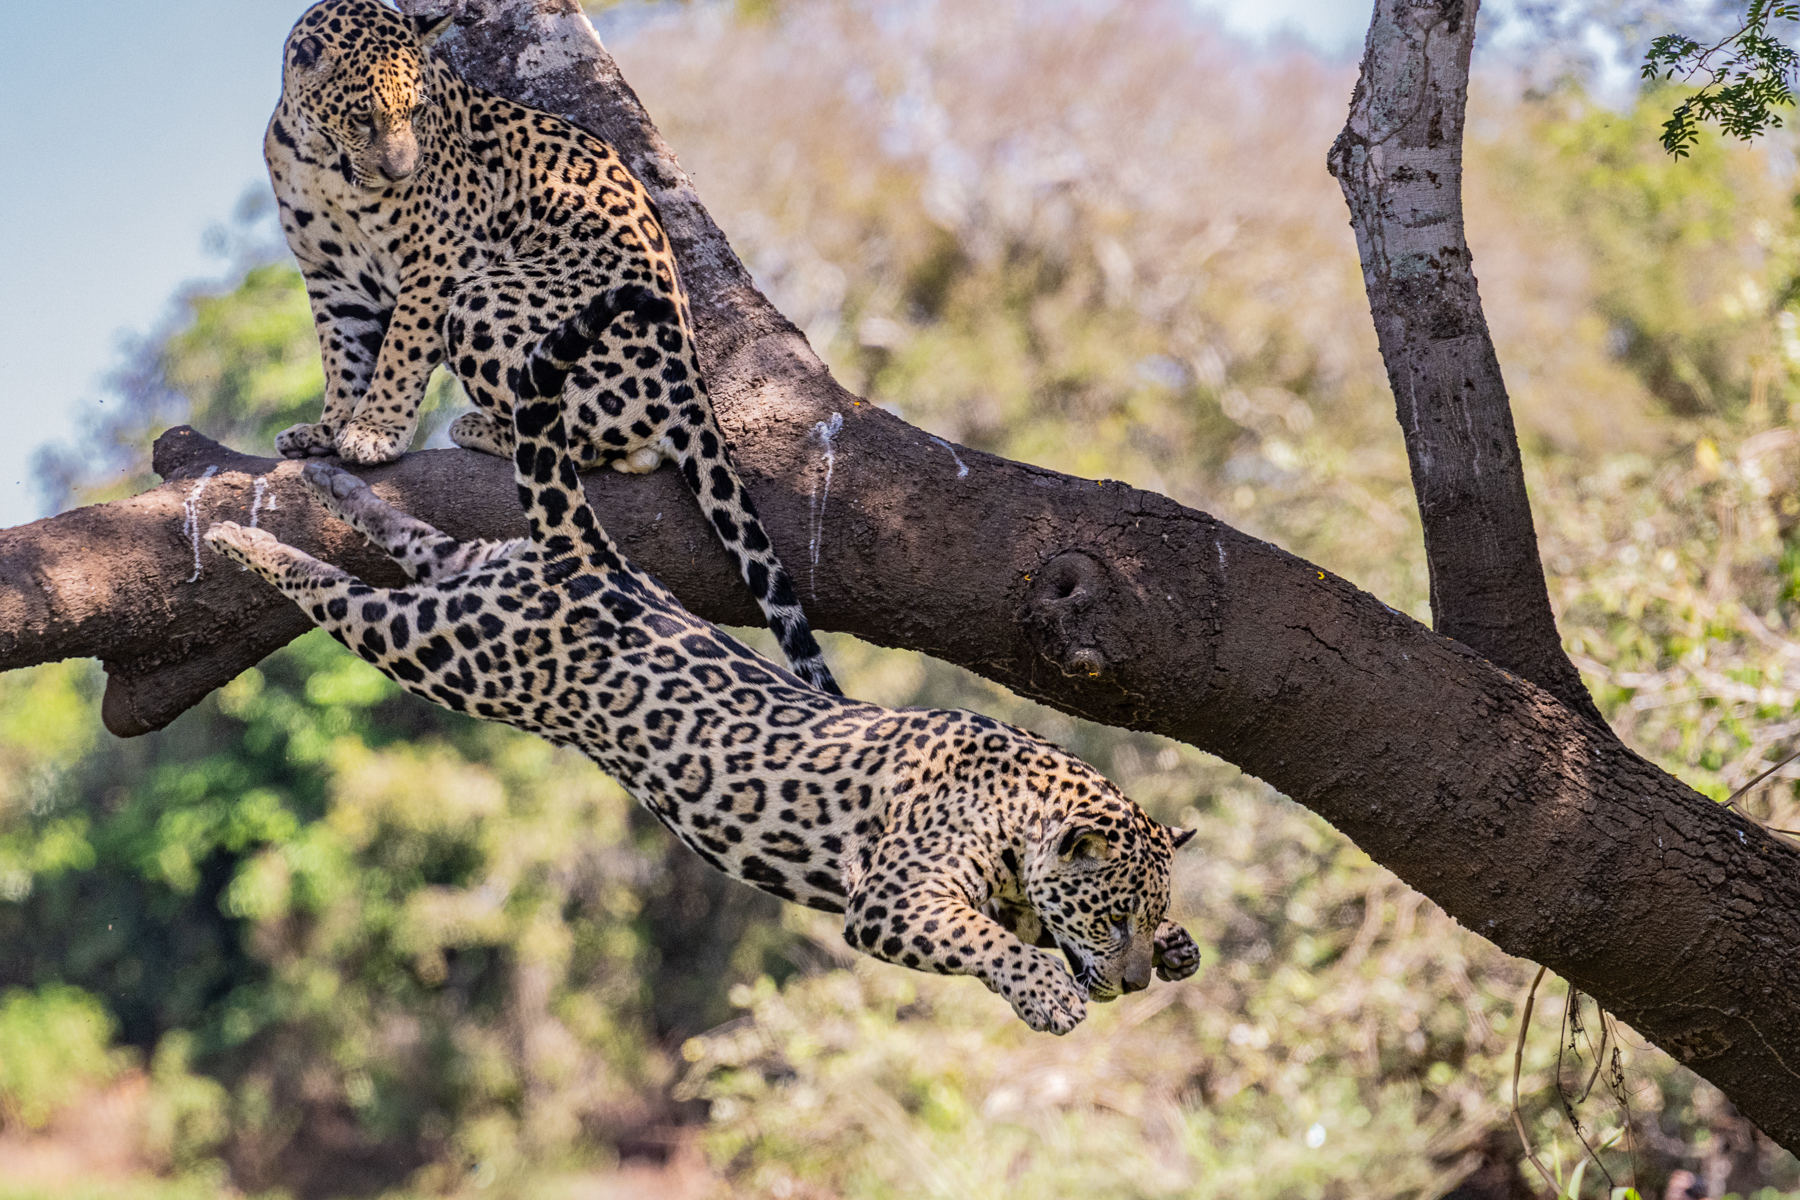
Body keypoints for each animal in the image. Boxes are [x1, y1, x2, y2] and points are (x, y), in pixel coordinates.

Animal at [204, 285, 1201, 1033]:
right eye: (1113, 916)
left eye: (1145, 919)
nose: (1134, 982)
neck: (1020, 812)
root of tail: (590, 559)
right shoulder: (891, 900)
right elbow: (993, 944)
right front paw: (1049, 993)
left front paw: (1183, 949)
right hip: (444, 653)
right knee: (342, 597)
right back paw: (233, 536)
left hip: (476, 579)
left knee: (416, 539)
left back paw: (331, 479)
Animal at [263, 0, 838, 693]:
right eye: (362, 117)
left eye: (418, 113)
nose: (402, 170)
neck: (322, 166)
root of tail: (691, 379)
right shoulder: (330, 279)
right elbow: (342, 360)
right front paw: (326, 429)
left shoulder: (440, 256)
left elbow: (399, 349)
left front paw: (373, 433)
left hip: (484, 299)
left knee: (593, 443)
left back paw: (484, 428)